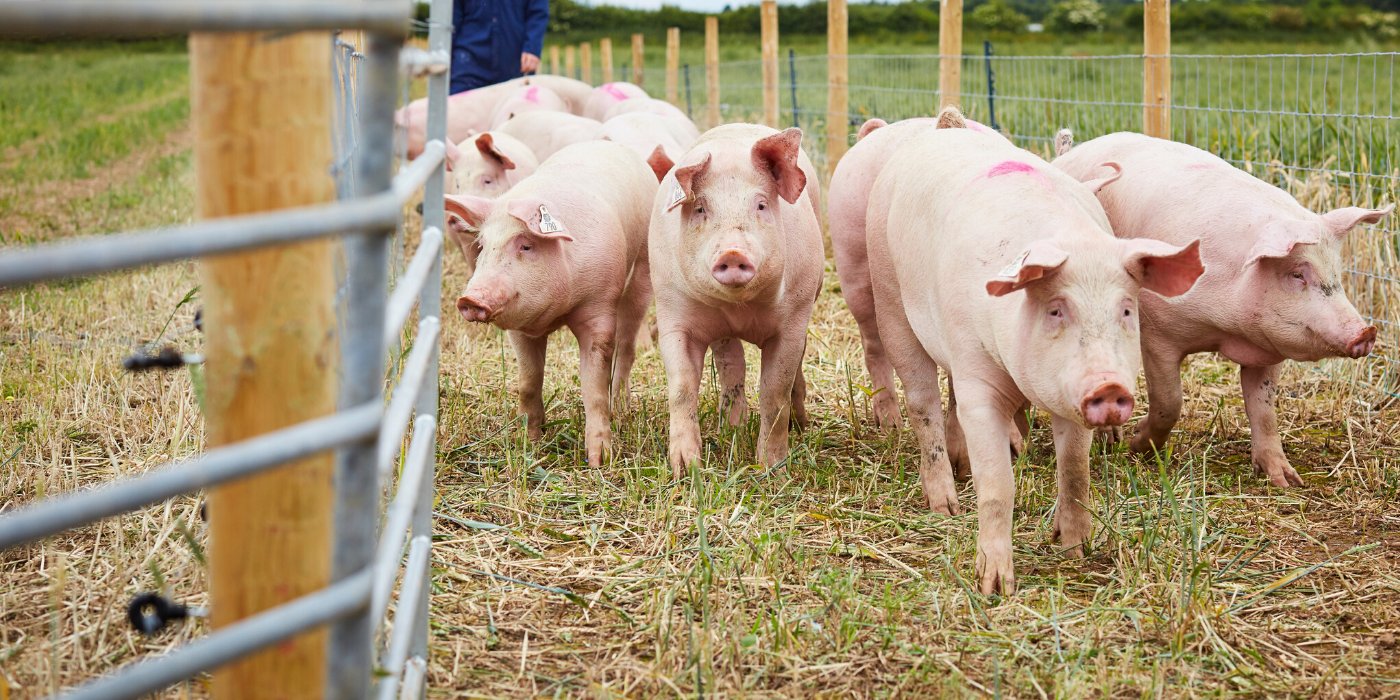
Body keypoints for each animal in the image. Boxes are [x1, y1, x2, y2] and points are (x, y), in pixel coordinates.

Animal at [445, 140, 658, 467]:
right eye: (482, 246)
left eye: (526, 245)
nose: (470, 298)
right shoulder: (519, 329)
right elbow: (528, 381)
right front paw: (529, 442)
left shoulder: (599, 306)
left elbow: (593, 386)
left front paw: (599, 461)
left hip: (642, 267)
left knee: (626, 344)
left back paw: (621, 407)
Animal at [649, 124, 823, 476]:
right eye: (700, 208)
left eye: (761, 205)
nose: (732, 252)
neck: (736, 308)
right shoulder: (672, 312)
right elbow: (682, 387)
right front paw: (685, 469)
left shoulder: (793, 319)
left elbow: (774, 392)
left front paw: (772, 468)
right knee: (732, 361)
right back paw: (732, 427)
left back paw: (800, 425)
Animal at [862, 117, 1204, 593]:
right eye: (1056, 309)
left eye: (1126, 309)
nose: (1109, 386)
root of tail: (943, 127)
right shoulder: (978, 379)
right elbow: (997, 484)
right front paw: (994, 586)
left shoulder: (1067, 394)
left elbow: (1075, 470)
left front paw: (1074, 550)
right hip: (890, 297)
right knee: (922, 402)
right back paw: (945, 504)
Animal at [1052, 133, 1394, 490]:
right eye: (1297, 274)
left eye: (1336, 274)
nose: (1366, 332)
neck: (1225, 330)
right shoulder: (1157, 331)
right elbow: (1169, 401)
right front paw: (1138, 447)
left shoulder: (1266, 349)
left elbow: (1263, 409)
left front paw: (1286, 480)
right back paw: (1112, 440)